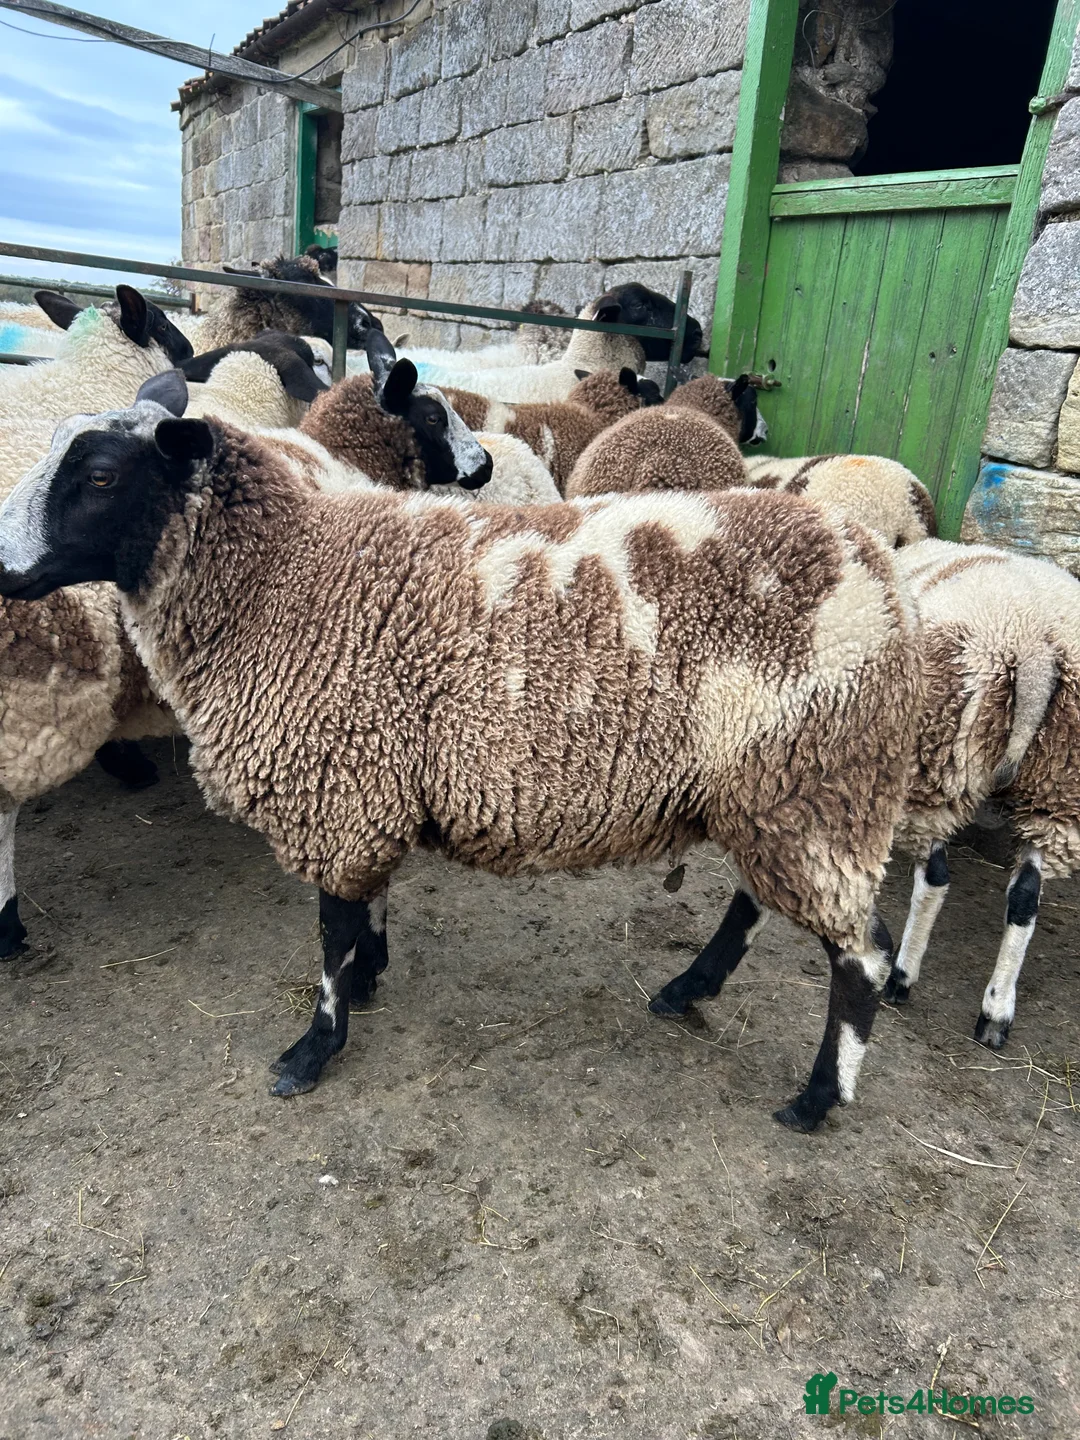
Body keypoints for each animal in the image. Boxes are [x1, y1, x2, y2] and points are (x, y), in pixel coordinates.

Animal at [870, 537, 1080, 1050]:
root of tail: (1037, 652)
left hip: (941, 756)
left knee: (935, 879)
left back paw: (902, 976)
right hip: (1058, 788)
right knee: (1025, 898)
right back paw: (996, 1012)